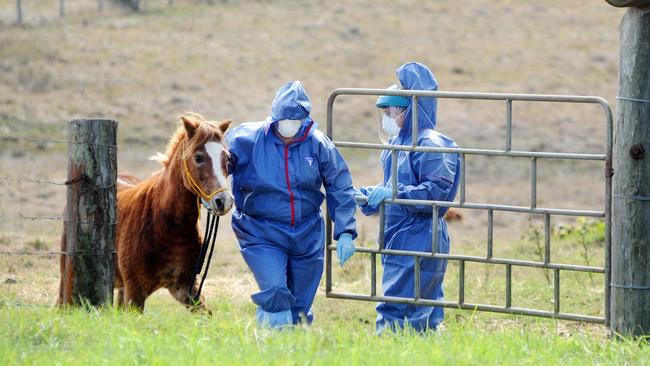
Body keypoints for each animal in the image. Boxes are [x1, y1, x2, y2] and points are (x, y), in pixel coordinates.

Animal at [57, 112, 232, 312]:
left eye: (227, 158)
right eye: (199, 157)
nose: (223, 201)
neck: (166, 225)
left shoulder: (186, 288)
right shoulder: (136, 292)